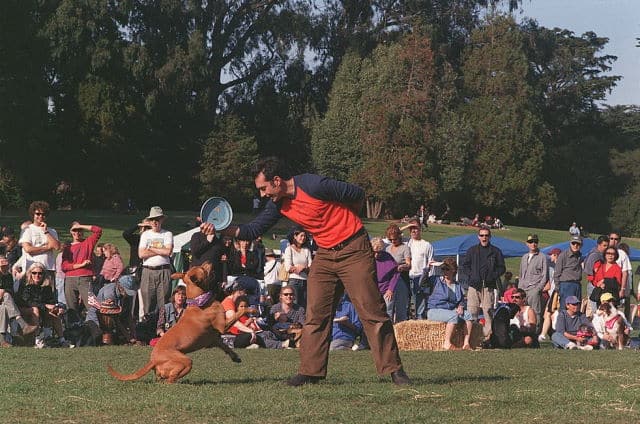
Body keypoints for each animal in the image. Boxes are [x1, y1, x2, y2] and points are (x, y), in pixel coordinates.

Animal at [107, 262, 240, 384]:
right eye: (202, 268)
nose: (209, 261)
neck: (199, 301)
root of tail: (153, 361)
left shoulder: (213, 339)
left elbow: (225, 346)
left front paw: (235, 357)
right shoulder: (223, 326)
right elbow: (239, 313)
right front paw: (245, 307)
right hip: (185, 361)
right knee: (172, 378)